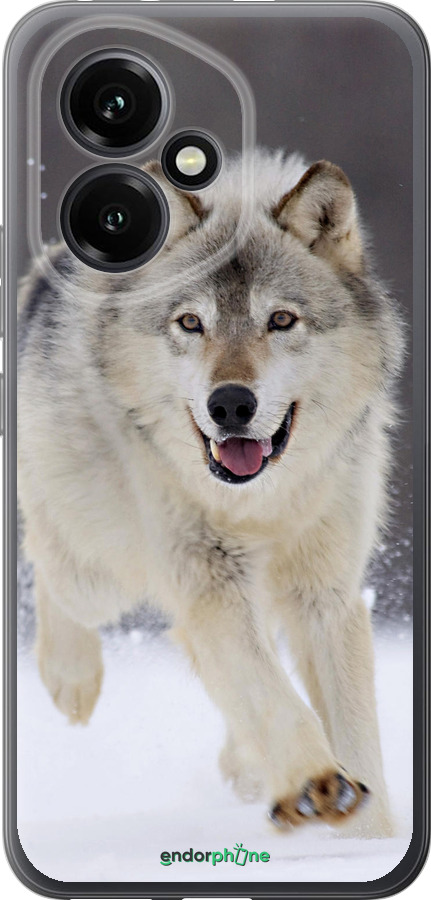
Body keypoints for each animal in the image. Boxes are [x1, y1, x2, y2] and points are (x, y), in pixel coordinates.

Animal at [18, 149, 403, 837]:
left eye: (281, 320)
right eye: (191, 323)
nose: (230, 404)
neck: (261, 503)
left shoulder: (325, 593)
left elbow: (354, 731)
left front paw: (369, 836)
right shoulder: (209, 581)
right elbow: (273, 696)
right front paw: (316, 783)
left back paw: (247, 767)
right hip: (101, 571)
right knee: (48, 562)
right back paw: (72, 680)